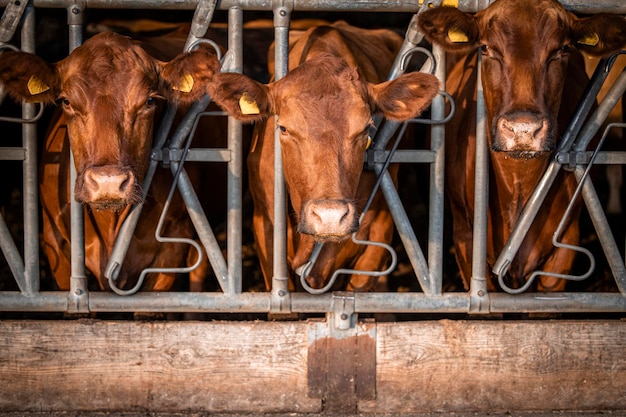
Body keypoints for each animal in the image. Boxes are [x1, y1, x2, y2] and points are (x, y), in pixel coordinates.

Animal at [414, 0, 624, 290]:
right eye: (486, 48)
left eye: (562, 50)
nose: (523, 129)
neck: (518, 187)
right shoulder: (466, 240)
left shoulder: (565, 247)